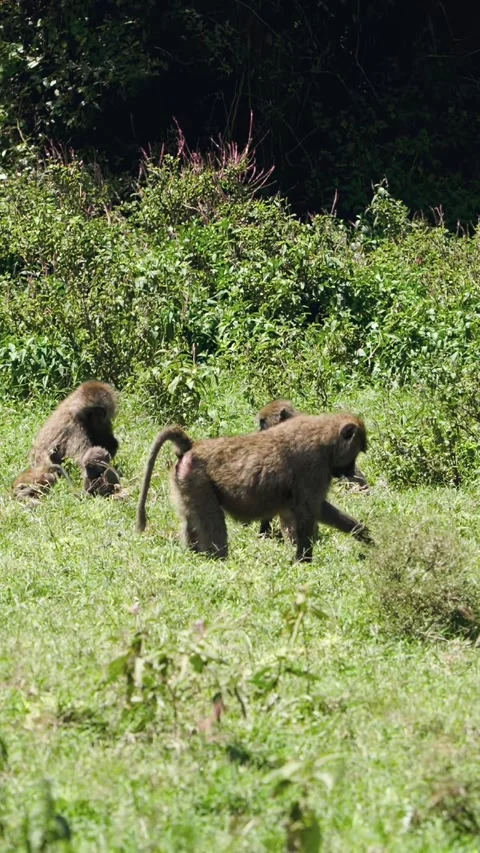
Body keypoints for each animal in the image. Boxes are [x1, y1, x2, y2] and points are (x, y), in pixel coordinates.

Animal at [136, 413, 372, 563]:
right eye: (357, 451)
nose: (350, 471)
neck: (326, 437)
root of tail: (192, 446)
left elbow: (318, 510)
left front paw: (364, 534)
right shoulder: (314, 468)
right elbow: (308, 513)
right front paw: (304, 561)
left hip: (185, 482)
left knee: (191, 520)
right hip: (199, 481)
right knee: (213, 523)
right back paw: (219, 562)